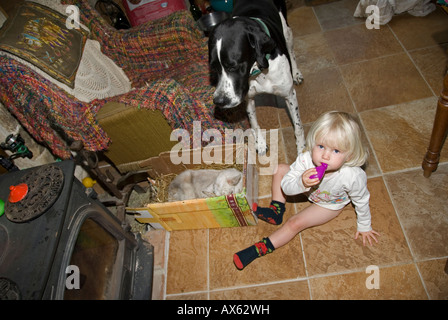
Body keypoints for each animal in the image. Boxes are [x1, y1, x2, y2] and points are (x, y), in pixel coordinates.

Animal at [209, 0, 304, 155]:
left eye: (233, 66)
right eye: (213, 68)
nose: (219, 101)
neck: (257, 71)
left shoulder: (290, 95)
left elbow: (298, 127)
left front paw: (302, 150)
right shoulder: (248, 98)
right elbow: (253, 122)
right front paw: (260, 143)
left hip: (287, 32)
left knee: (291, 49)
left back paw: (296, 73)